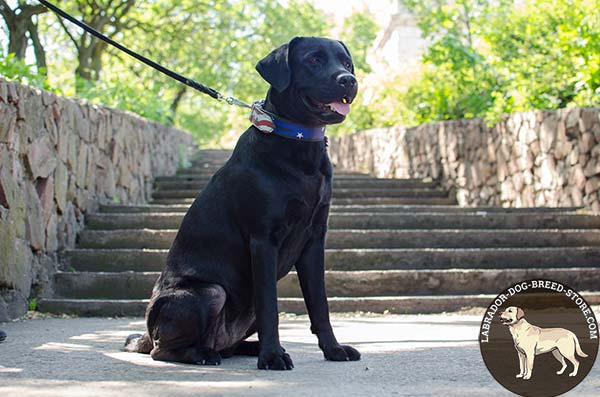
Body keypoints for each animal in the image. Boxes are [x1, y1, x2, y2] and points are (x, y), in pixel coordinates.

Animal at [125, 36, 358, 368]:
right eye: (314, 60)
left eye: (346, 62)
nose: (348, 79)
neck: (299, 144)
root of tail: (146, 332)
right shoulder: (262, 239)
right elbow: (271, 309)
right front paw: (272, 357)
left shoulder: (314, 239)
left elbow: (319, 304)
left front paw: (333, 349)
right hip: (210, 293)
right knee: (163, 349)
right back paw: (205, 354)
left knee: (230, 344)